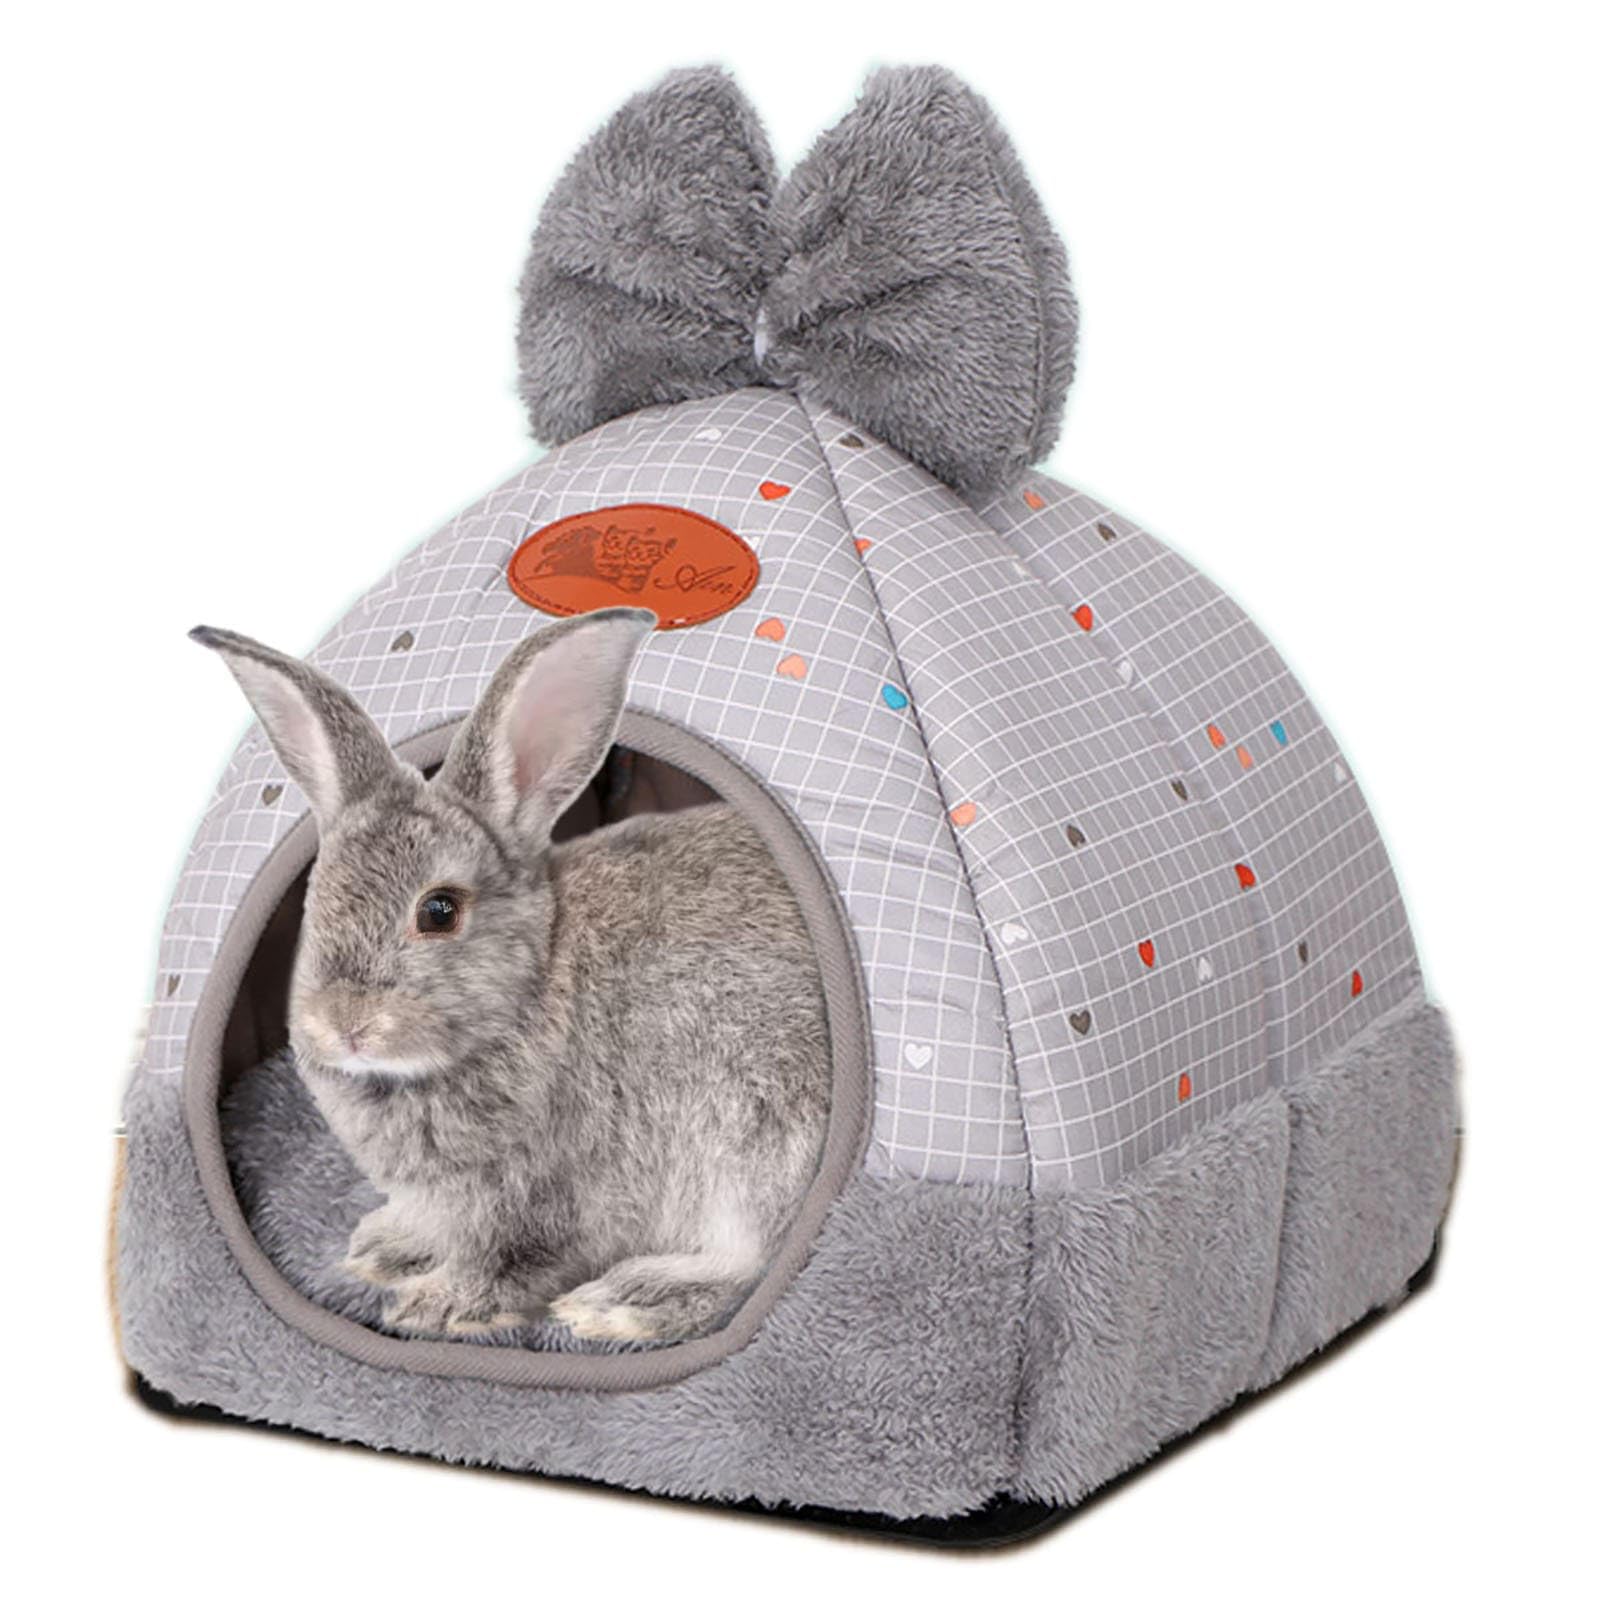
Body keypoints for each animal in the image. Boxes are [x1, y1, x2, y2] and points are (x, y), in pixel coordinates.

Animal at [191, 608, 830, 1343]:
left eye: (439, 911)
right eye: (314, 899)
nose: (343, 1023)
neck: (530, 987)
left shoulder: (544, 1198)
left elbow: (511, 1263)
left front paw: (436, 1304)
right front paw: (384, 1246)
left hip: (765, 1140)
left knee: (755, 1270)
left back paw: (628, 1301)